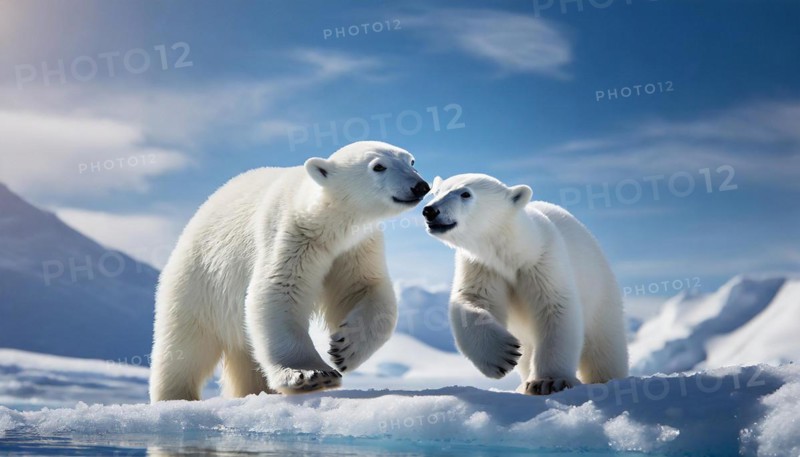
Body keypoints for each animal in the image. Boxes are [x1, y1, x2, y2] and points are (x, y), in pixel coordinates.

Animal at [149, 141, 429, 402]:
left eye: (411, 161)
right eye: (378, 166)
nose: (421, 186)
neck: (327, 226)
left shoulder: (355, 247)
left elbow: (366, 288)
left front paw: (345, 348)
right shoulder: (291, 235)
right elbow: (280, 290)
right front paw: (311, 374)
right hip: (198, 282)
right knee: (184, 347)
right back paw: (175, 396)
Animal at [422, 174, 628, 395]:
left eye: (465, 193)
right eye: (436, 192)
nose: (430, 211)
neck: (513, 254)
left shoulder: (542, 262)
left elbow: (555, 308)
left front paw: (548, 381)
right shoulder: (483, 267)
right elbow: (472, 300)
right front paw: (502, 355)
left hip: (600, 294)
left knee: (604, 347)